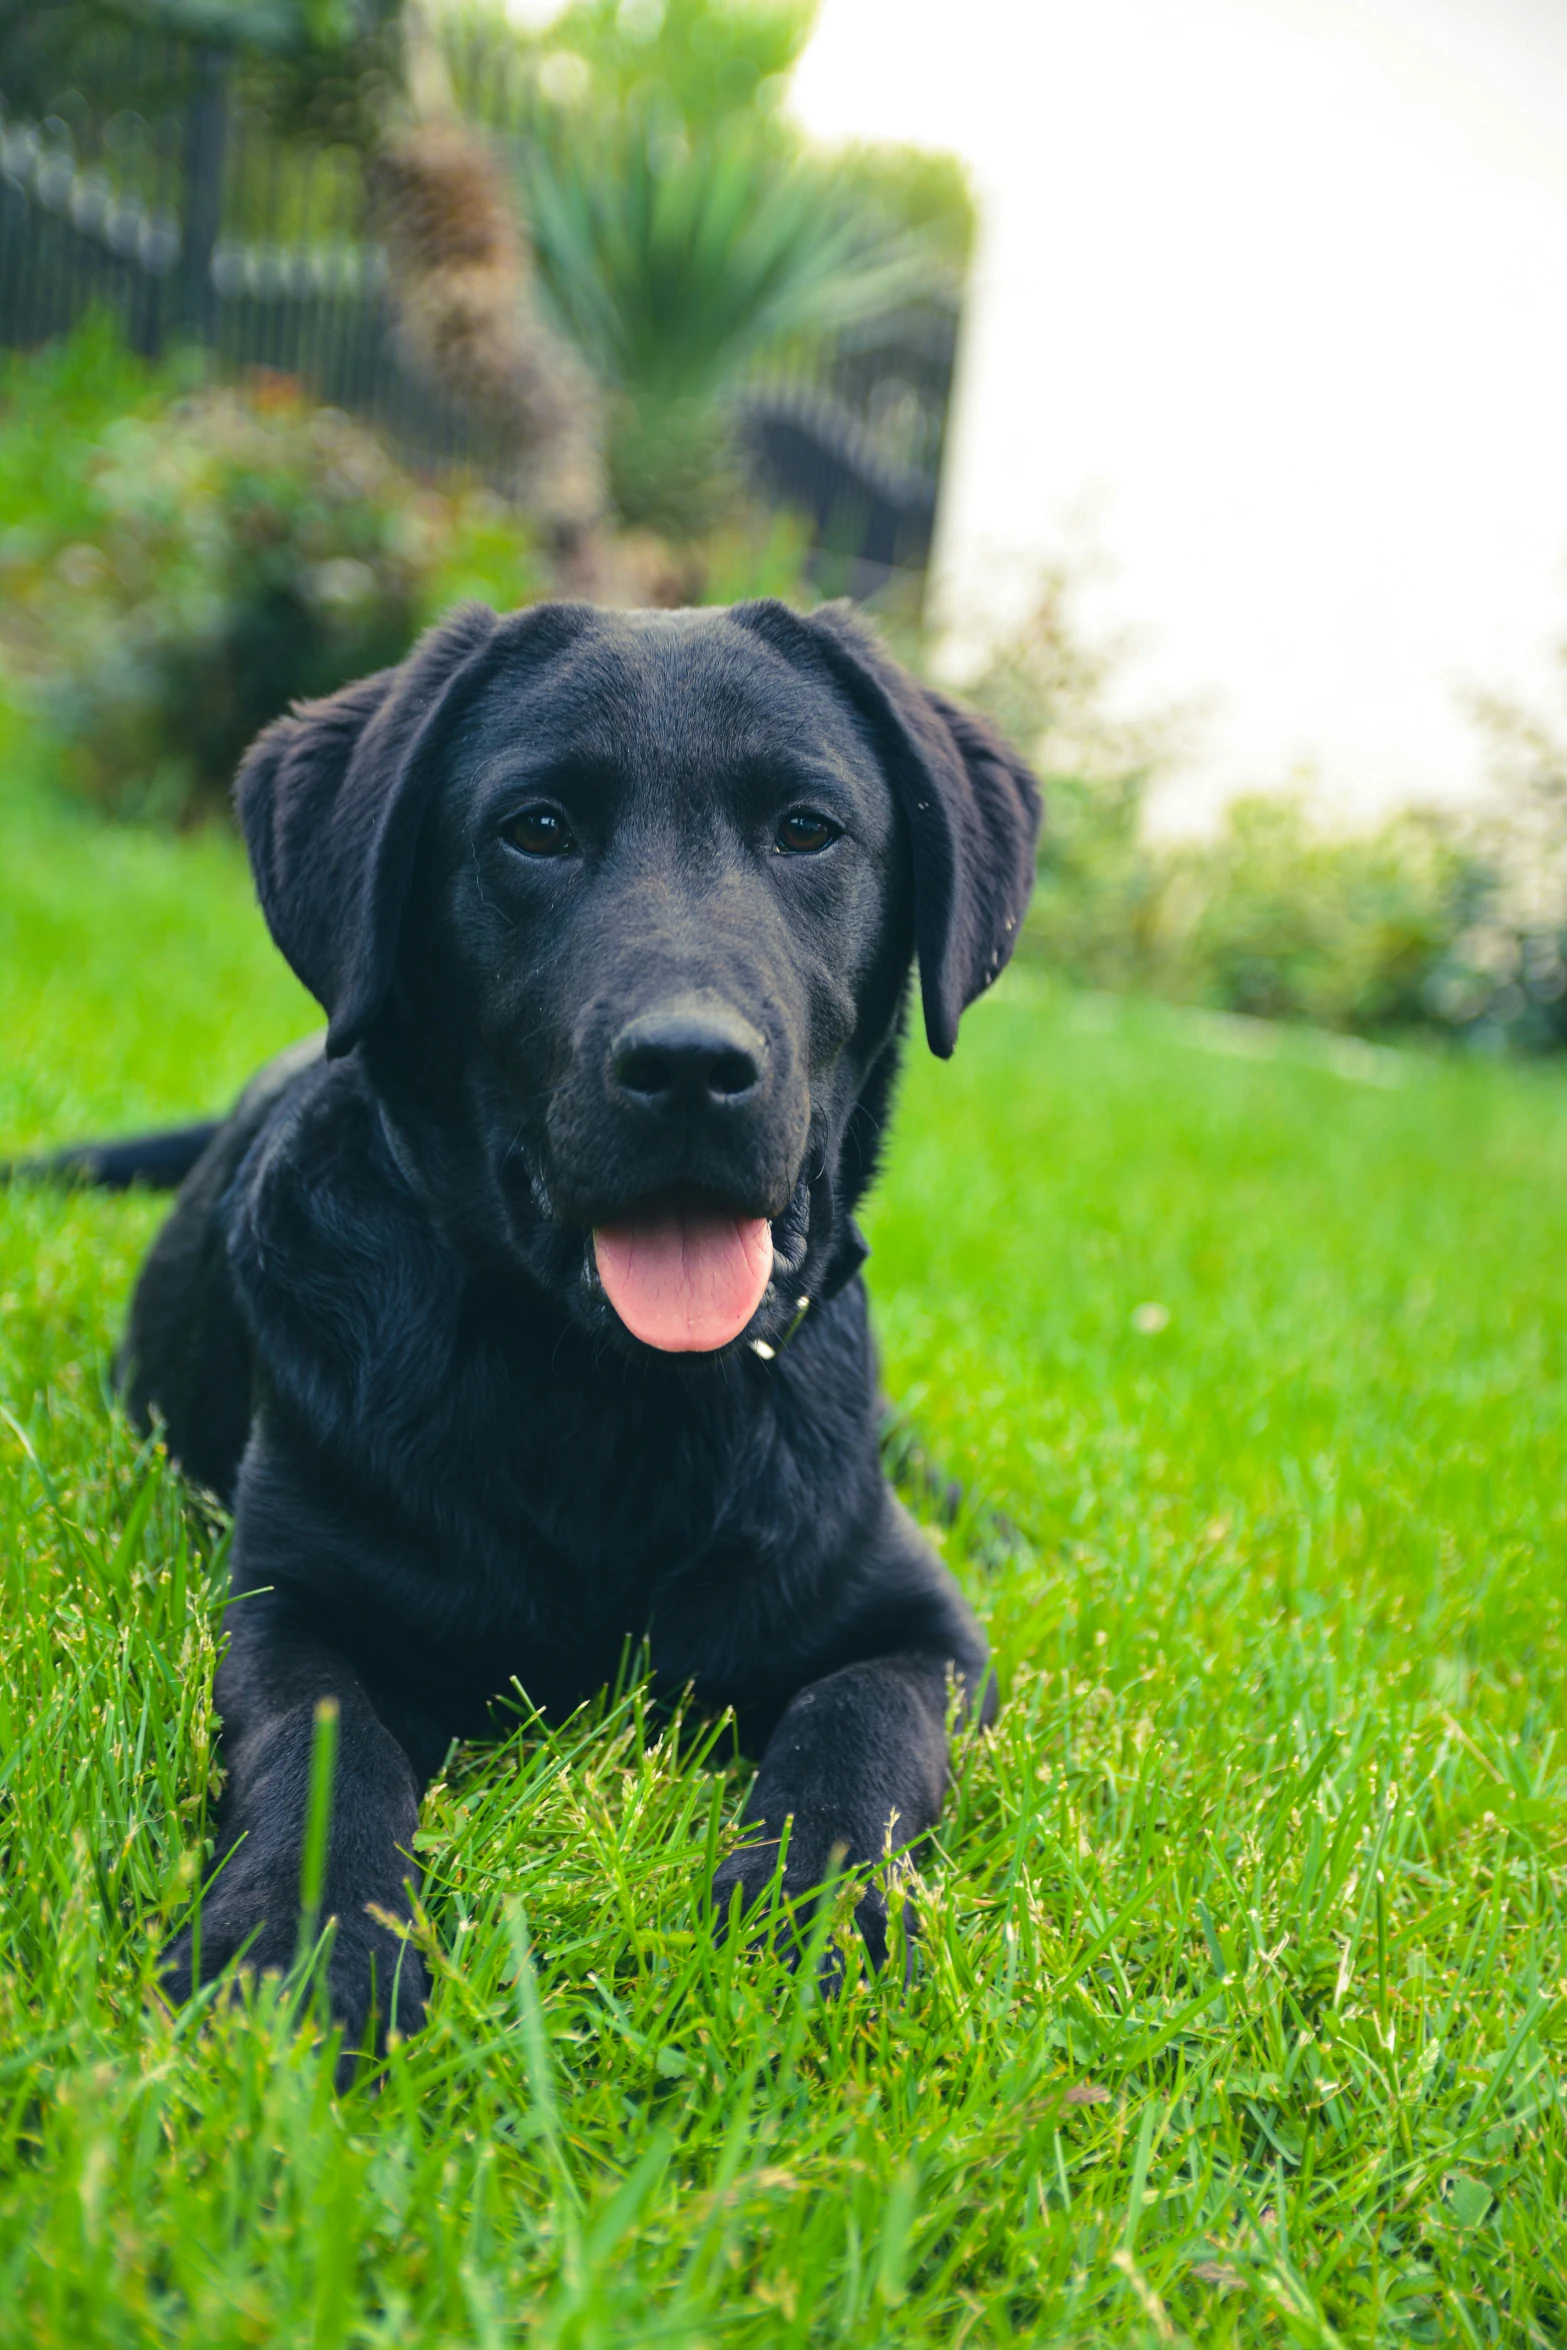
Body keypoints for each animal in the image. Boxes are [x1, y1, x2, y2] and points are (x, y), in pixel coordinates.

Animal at [46, 601, 1043, 2058]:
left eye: (808, 828)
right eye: (537, 829)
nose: (688, 1065)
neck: (615, 1399)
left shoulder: (920, 1629)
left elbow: (853, 1728)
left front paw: (811, 1922)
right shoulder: (292, 1601)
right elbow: (320, 1751)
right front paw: (302, 1947)